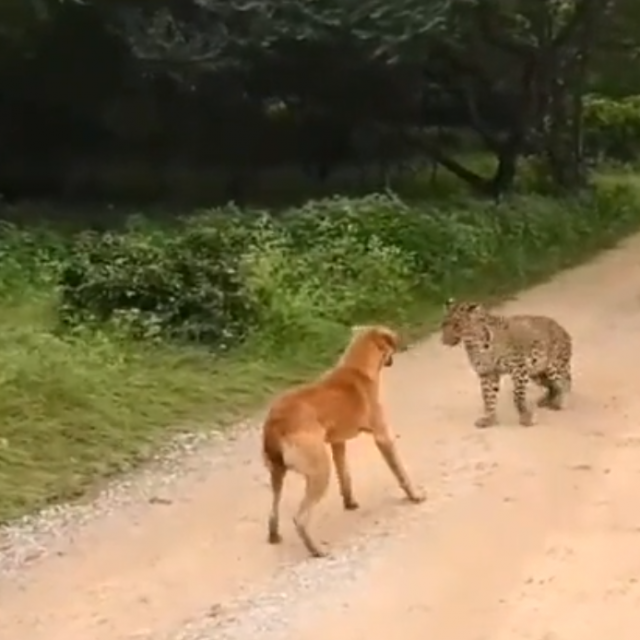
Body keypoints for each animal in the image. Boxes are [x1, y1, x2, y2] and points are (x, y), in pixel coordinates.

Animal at [440, 297, 573, 428]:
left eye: (457, 325)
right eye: (444, 324)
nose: (443, 341)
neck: (475, 343)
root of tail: (560, 327)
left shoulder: (518, 369)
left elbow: (518, 396)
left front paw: (526, 418)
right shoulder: (487, 373)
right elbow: (488, 397)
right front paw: (489, 419)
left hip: (554, 366)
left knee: (565, 382)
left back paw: (560, 402)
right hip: (536, 373)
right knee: (552, 385)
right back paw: (547, 400)